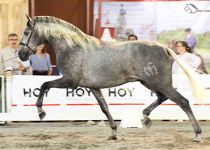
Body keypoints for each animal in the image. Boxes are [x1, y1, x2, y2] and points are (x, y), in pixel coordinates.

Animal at [18, 15, 202, 142]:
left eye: (26, 32)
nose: (21, 55)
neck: (73, 47)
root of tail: (164, 48)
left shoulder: (70, 81)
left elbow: (44, 85)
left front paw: (41, 112)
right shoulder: (93, 87)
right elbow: (105, 108)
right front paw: (113, 132)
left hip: (160, 82)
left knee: (183, 101)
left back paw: (197, 134)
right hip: (149, 82)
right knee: (162, 97)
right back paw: (145, 117)